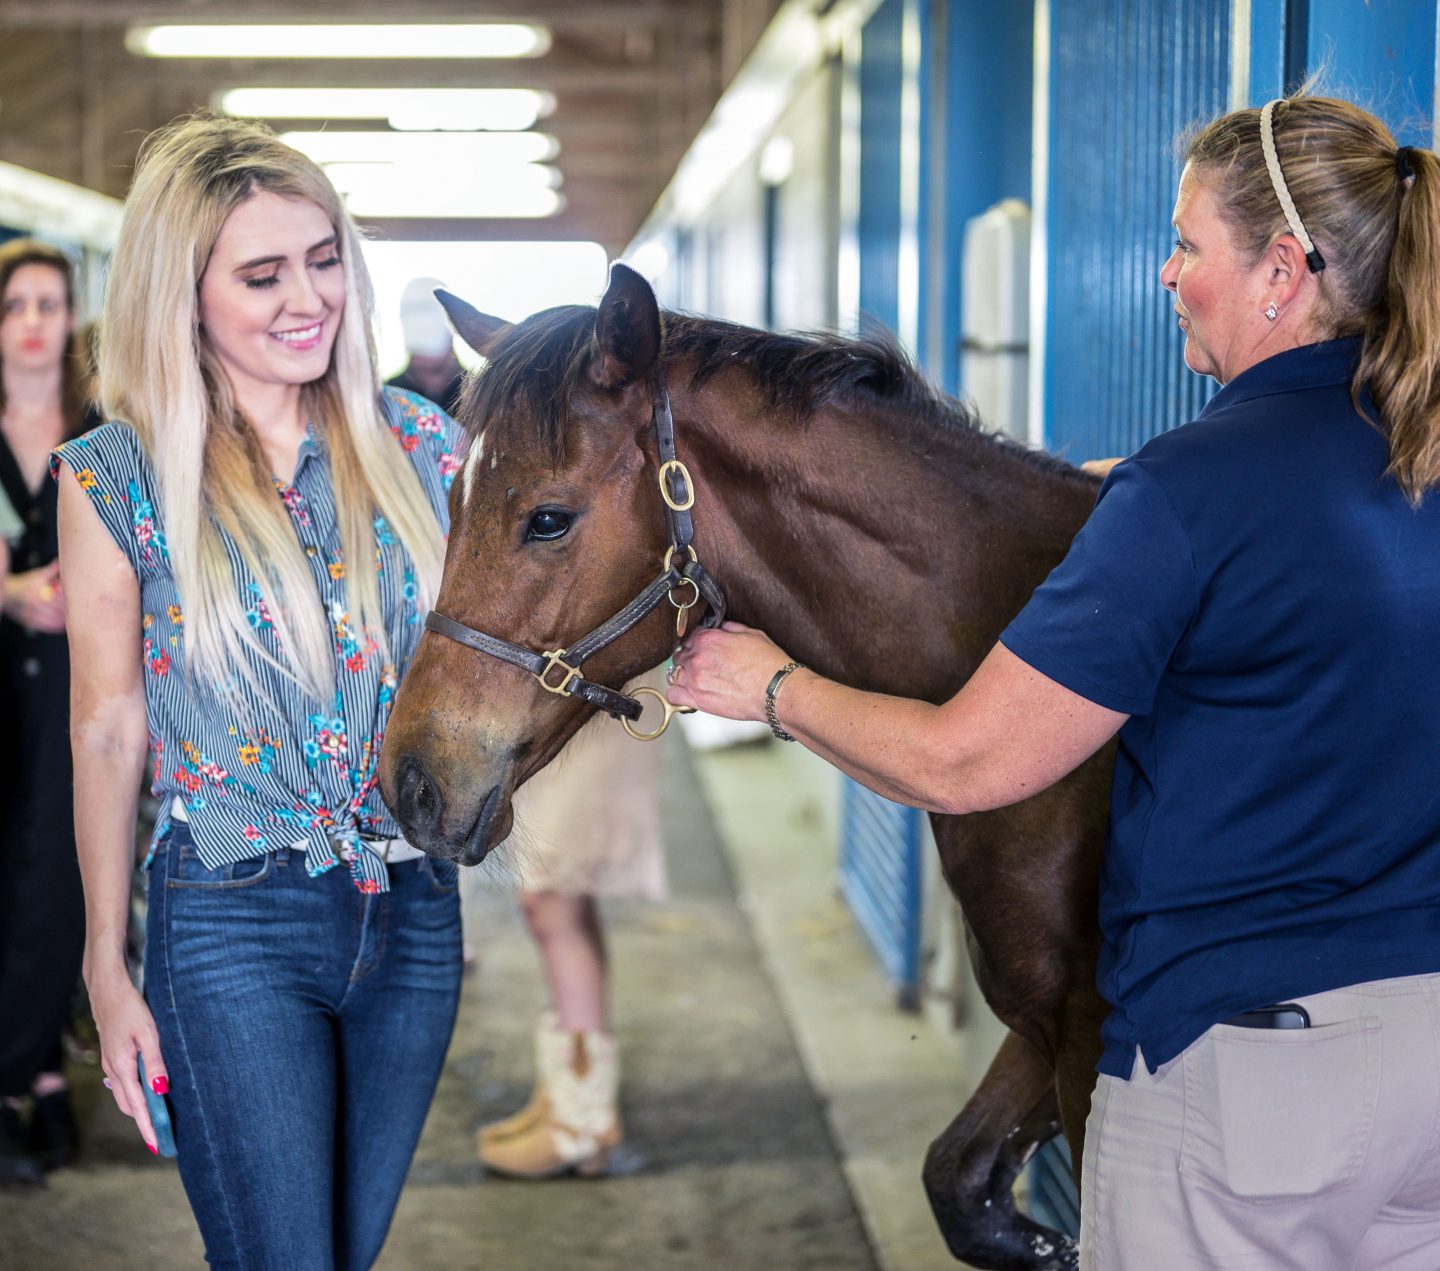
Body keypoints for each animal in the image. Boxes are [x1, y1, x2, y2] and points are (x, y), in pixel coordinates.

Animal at [377, 263, 1105, 1266]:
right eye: (448, 505)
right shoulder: (1046, 1019)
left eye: (548, 519)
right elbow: (961, 1185)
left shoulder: (1093, 1037)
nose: (410, 783)